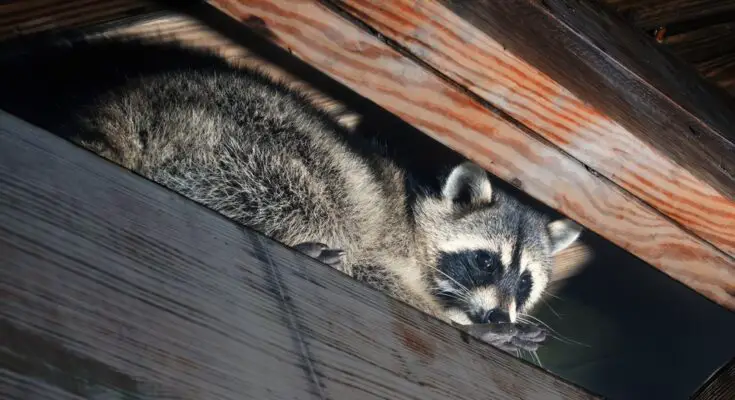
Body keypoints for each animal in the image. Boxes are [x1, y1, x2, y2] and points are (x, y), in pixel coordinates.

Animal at [0, 38, 584, 352]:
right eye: (485, 262)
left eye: (525, 281)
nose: (499, 318)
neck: (416, 220)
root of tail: (136, 97)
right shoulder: (386, 241)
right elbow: (373, 270)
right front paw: (459, 323)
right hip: (246, 141)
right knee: (309, 195)